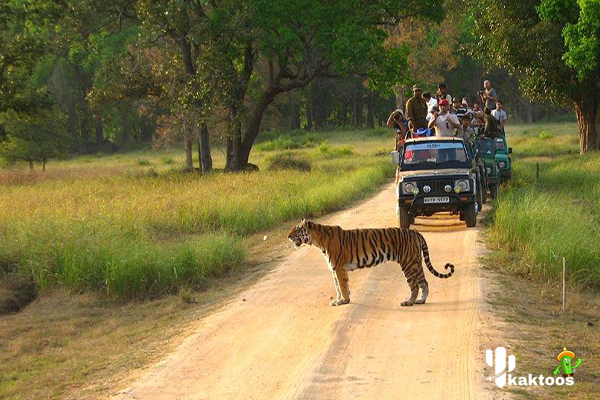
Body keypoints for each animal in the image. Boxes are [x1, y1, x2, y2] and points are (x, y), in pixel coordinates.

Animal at [288, 219, 454, 306]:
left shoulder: (339, 269)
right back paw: (420, 300)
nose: (288, 236)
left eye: (297, 229)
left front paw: (344, 301)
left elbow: (342, 286)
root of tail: (415, 232)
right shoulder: (334, 270)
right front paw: (338, 300)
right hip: (416, 262)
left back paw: (408, 302)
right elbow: (337, 287)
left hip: (408, 263)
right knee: (424, 283)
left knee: (414, 285)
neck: (317, 241)